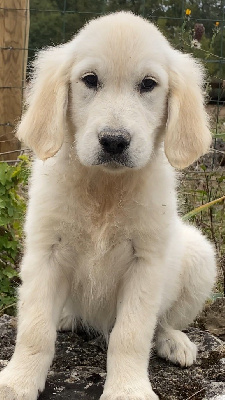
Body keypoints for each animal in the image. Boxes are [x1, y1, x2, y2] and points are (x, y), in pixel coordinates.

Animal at [0, 10, 216, 398]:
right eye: (90, 80)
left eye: (148, 84)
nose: (114, 142)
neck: (105, 188)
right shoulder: (45, 253)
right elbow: (35, 328)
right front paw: (18, 380)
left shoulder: (145, 263)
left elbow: (131, 335)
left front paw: (128, 389)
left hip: (200, 255)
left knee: (164, 322)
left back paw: (174, 341)